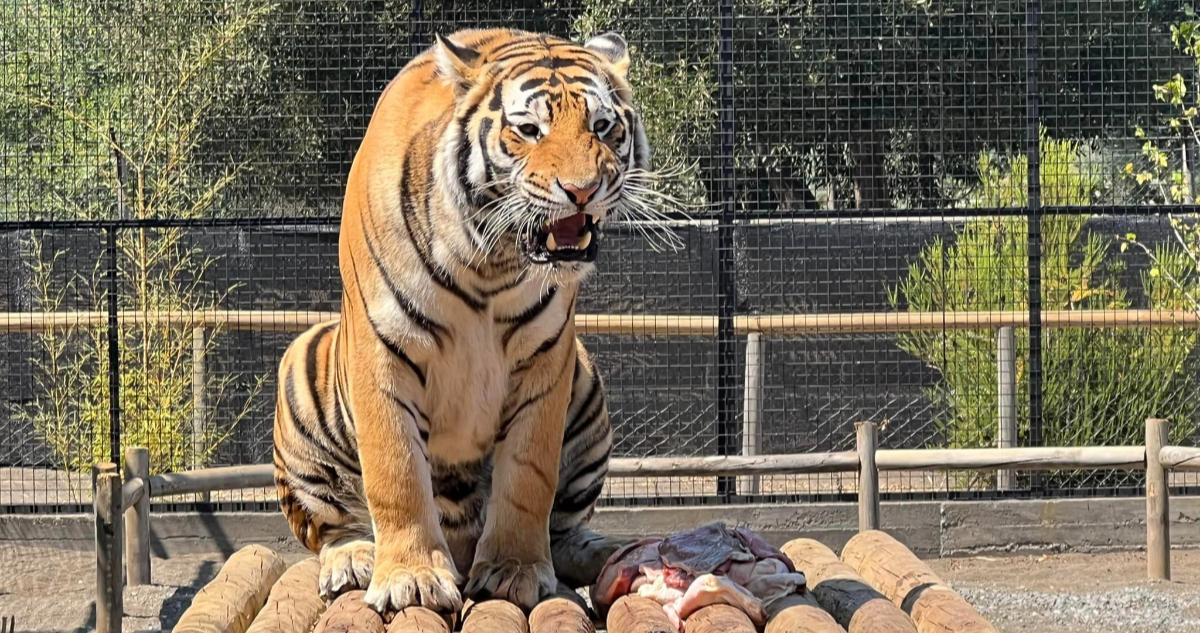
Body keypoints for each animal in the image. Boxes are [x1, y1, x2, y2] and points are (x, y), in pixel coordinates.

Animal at [272, 28, 652, 616]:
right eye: (528, 130)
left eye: (602, 126)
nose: (583, 191)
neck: (490, 261)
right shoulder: (381, 348)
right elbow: (396, 471)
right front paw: (410, 578)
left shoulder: (548, 356)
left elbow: (529, 476)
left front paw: (515, 571)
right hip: (302, 366)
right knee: (332, 525)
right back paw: (354, 559)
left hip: (587, 384)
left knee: (565, 532)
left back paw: (617, 553)